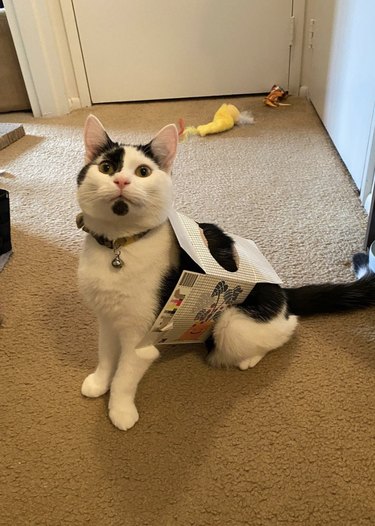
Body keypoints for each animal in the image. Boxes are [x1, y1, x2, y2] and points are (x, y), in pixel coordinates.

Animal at [77, 116, 375, 434]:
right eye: (106, 168)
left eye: (143, 171)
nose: (121, 181)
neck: (119, 247)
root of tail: (281, 291)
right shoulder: (107, 320)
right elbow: (106, 356)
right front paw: (99, 383)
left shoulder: (141, 337)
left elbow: (124, 376)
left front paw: (120, 410)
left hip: (232, 324)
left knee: (287, 328)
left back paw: (251, 358)